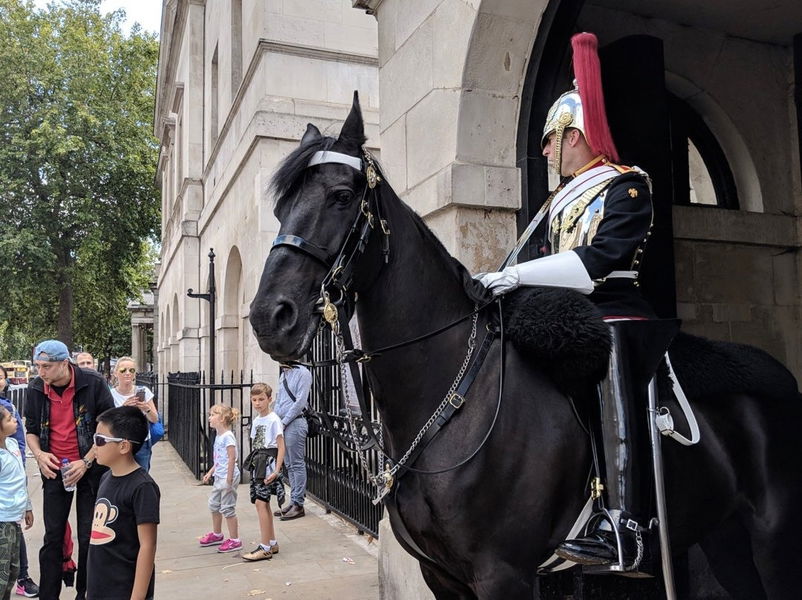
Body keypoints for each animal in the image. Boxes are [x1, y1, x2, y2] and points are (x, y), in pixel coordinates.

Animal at [248, 94, 800, 600]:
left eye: (342, 196)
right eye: (279, 206)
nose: (268, 318)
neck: (450, 398)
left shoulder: (502, 574)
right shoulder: (442, 576)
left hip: (773, 541)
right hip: (725, 538)